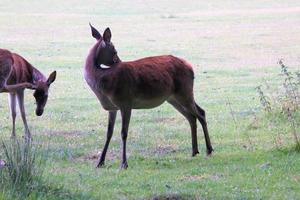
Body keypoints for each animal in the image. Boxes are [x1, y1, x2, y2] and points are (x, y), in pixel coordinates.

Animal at [84, 24, 213, 170]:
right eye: (115, 51)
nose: (119, 61)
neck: (104, 87)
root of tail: (190, 67)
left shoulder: (125, 101)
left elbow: (124, 133)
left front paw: (124, 164)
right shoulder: (112, 108)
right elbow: (108, 133)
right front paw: (100, 162)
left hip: (185, 91)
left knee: (201, 113)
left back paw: (209, 150)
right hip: (173, 98)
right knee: (192, 116)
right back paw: (194, 151)